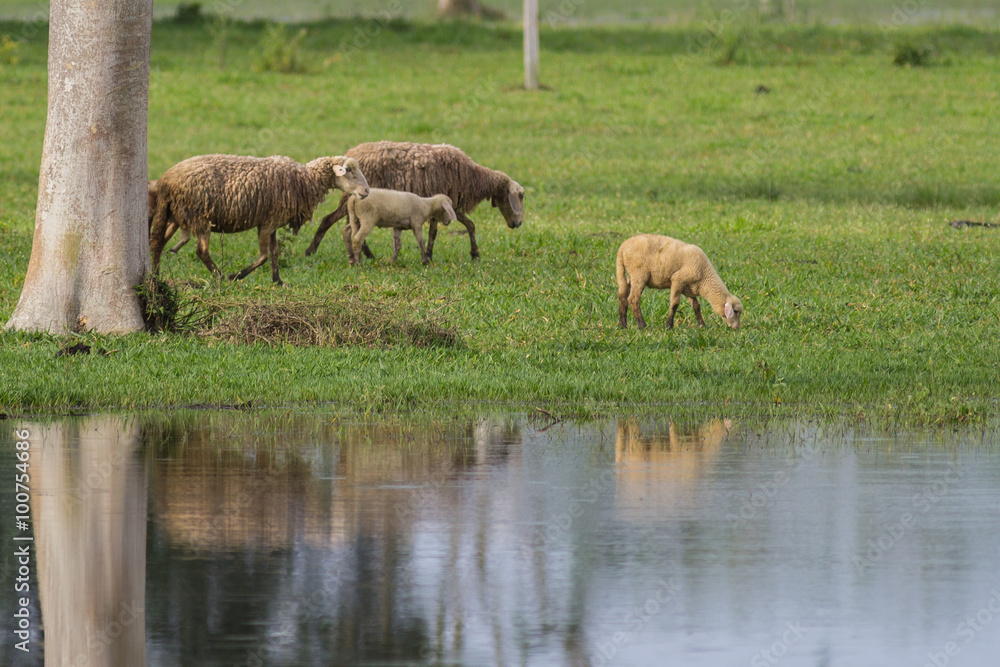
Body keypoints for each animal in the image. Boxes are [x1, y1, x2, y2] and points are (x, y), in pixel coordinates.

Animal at [146, 155, 370, 286]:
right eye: (348, 171)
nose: (367, 191)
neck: (304, 179)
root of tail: (166, 181)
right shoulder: (267, 223)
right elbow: (263, 256)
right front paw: (237, 276)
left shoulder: (273, 223)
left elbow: (275, 253)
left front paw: (278, 281)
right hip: (198, 215)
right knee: (201, 251)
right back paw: (221, 277)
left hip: (175, 214)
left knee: (157, 243)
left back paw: (155, 276)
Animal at [302, 142, 524, 262]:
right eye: (521, 196)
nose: (519, 223)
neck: (473, 177)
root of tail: (352, 153)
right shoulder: (446, 202)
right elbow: (445, 229)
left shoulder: (446, 205)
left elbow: (465, 225)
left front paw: (472, 253)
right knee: (329, 220)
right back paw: (312, 250)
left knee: (343, 225)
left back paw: (364, 254)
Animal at [612, 235, 748, 332]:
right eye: (736, 311)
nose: (736, 328)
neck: (705, 277)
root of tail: (623, 246)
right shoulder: (678, 279)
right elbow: (675, 304)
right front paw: (669, 326)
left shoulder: (688, 288)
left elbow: (696, 306)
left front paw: (702, 325)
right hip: (639, 273)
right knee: (633, 299)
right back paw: (642, 326)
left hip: (627, 274)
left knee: (622, 297)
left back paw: (622, 325)